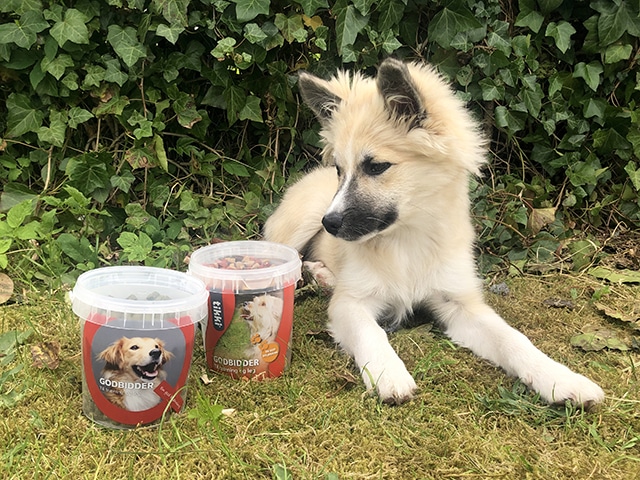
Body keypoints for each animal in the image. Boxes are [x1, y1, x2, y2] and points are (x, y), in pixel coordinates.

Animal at [264, 58, 605, 407]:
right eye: (339, 170)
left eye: (376, 167)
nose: (329, 225)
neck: (407, 240)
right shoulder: (351, 303)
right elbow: (370, 331)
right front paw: (388, 372)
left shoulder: (460, 303)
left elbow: (512, 338)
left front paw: (559, 377)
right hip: (298, 225)